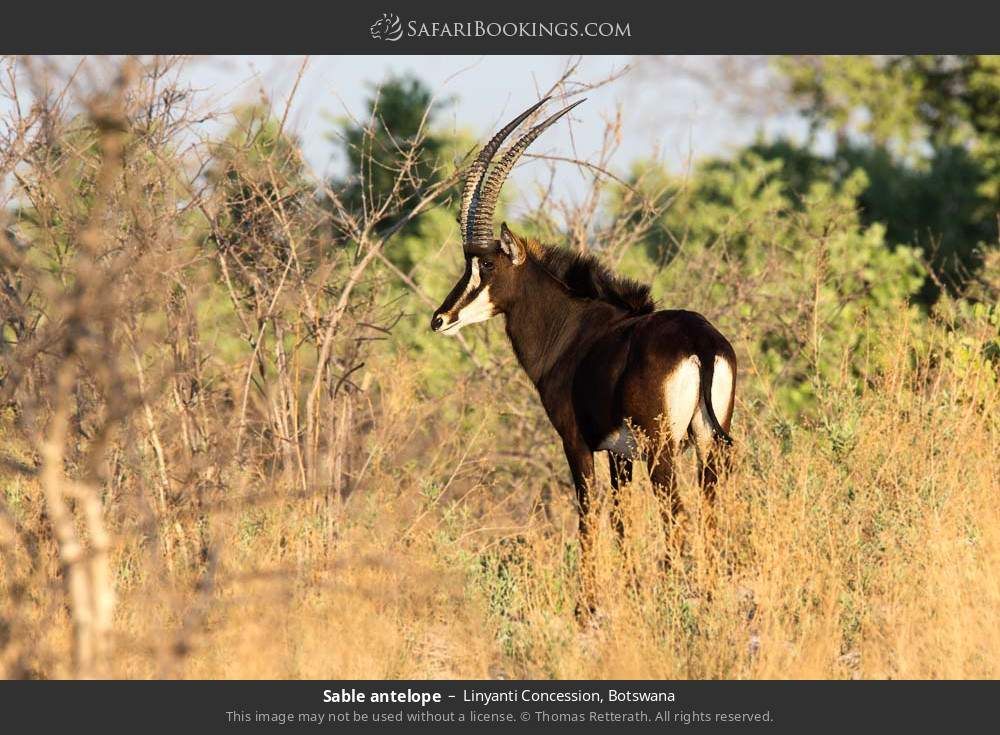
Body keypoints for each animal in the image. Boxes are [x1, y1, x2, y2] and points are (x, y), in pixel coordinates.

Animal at [430, 98, 736, 604]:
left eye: (487, 263)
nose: (439, 318)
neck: (569, 330)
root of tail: (700, 343)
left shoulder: (576, 441)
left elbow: (588, 514)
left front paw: (589, 603)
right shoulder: (619, 453)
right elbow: (622, 520)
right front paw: (629, 591)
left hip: (663, 450)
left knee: (677, 514)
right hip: (707, 445)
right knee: (710, 509)